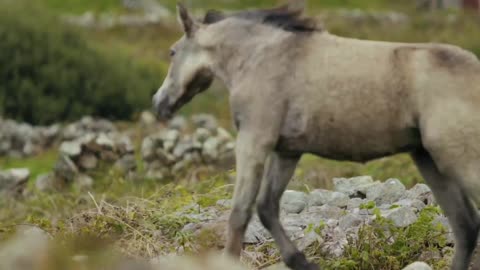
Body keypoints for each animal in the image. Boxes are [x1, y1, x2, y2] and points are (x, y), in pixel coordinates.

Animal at [152, 1, 480, 268]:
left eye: (172, 52)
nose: (159, 104)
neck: (261, 56)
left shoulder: (253, 140)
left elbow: (240, 214)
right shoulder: (286, 152)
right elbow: (266, 208)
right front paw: (303, 262)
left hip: (458, 159)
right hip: (429, 160)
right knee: (465, 226)